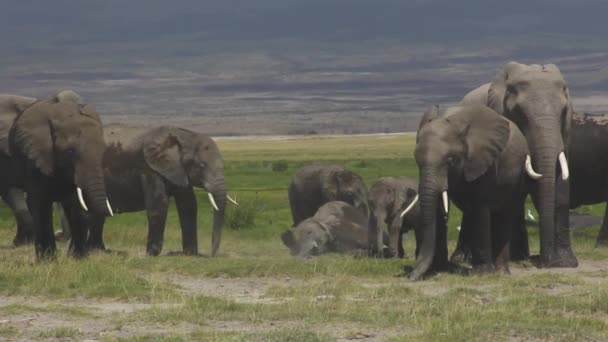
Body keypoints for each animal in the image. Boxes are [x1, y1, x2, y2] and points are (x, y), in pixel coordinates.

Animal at [8, 91, 113, 260]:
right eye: (70, 151)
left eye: (103, 149)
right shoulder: (35, 156)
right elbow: (40, 202)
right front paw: (47, 260)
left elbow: (75, 203)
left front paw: (79, 259)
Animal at [81, 123, 233, 256]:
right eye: (201, 165)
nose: (212, 254)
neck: (183, 136)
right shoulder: (149, 169)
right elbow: (159, 204)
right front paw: (151, 254)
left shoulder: (179, 170)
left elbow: (188, 205)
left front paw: (189, 254)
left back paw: (98, 250)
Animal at [410, 104, 528, 280]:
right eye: (416, 160)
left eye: (450, 161)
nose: (411, 276)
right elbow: (438, 208)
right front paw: (437, 269)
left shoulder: (483, 161)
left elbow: (480, 206)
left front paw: (481, 274)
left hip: (517, 176)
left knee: (504, 214)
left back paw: (501, 272)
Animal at [458, 63, 576, 268]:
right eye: (520, 114)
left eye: (563, 112)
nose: (546, 262)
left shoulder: (565, 132)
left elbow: (559, 187)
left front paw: (566, 263)